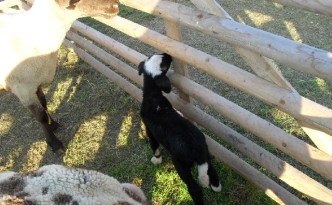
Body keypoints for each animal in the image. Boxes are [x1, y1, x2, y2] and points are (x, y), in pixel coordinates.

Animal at [0, 0, 119, 151]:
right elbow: (40, 115)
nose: (116, 5)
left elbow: (44, 103)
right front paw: (54, 143)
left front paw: (53, 124)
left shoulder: (37, 81)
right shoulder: (23, 89)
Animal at [139, 53, 222, 205]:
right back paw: (216, 187)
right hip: (206, 153)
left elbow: (155, 147)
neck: (152, 97)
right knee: (212, 171)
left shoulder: (150, 131)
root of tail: (197, 149)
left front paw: (156, 160)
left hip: (181, 164)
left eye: (164, 64)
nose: (168, 55)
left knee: (194, 188)